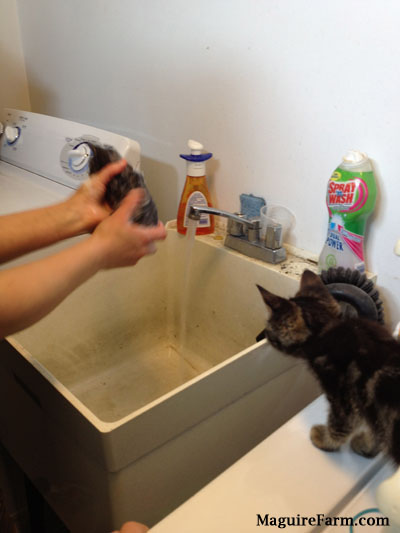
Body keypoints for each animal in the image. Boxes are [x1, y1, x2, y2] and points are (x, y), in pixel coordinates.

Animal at [256, 268, 400, 464]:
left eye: (269, 332)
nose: (261, 337)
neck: (328, 331)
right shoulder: (376, 413)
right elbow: (378, 433)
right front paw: (367, 448)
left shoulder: (343, 399)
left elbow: (339, 427)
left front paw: (325, 441)